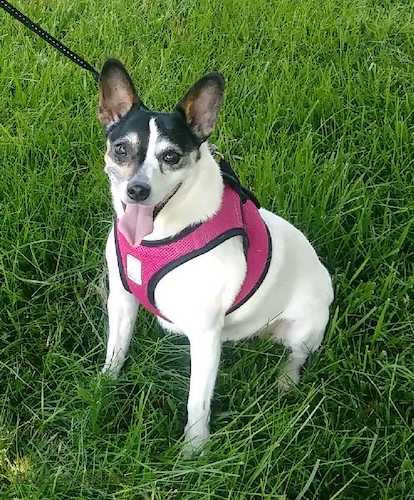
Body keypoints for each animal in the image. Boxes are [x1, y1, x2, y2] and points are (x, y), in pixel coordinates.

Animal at [97, 58, 334, 454]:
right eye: (121, 150)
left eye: (171, 156)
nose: (137, 190)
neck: (160, 234)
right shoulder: (123, 301)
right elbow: (117, 349)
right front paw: (105, 385)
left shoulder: (205, 333)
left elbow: (197, 400)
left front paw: (194, 450)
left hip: (304, 327)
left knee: (298, 355)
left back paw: (286, 380)